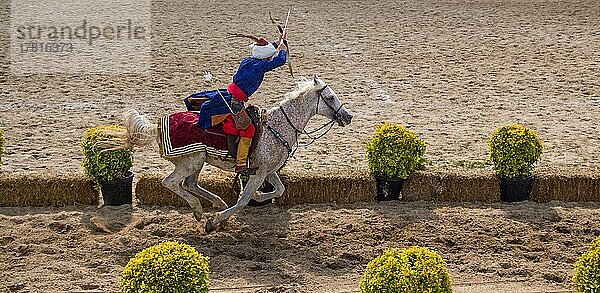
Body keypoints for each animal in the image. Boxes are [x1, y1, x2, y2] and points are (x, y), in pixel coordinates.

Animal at [125, 74, 354, 233]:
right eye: (330, 97)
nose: (348, 116)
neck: (278, 125)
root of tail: (157, 126)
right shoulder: (258, 173)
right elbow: (244, 200)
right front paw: (215, 220)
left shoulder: (268, 171)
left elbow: (279, 190)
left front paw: (259, 196)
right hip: (191, 161)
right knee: (171, 183)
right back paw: (199, 209)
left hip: (198, 161)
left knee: (190, 184)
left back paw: (216, 203)